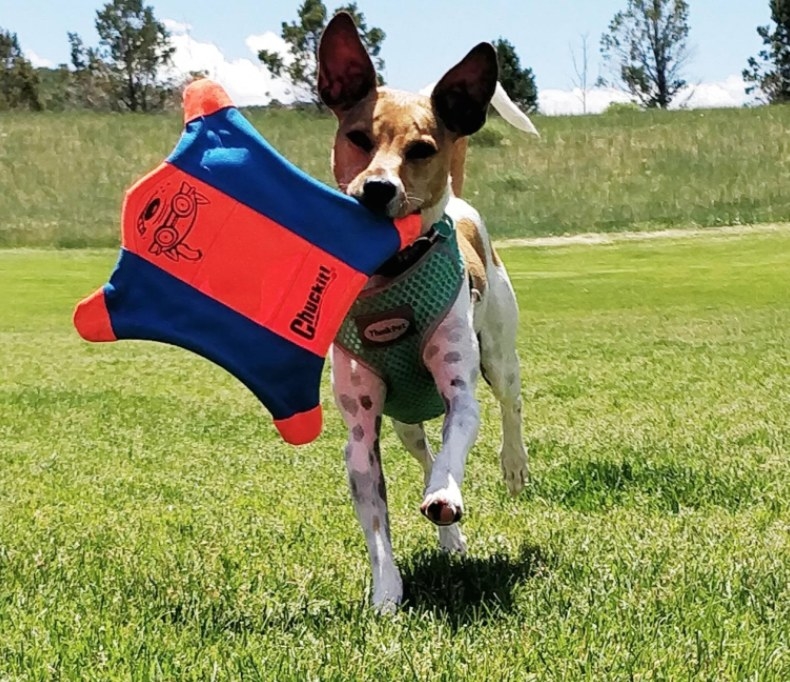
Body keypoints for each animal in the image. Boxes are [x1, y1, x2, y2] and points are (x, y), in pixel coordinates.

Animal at [320, 11, 532, 604]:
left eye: (421, 149)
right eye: (358, 137)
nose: (376, 188)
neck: (391, 272)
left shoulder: (460, 393)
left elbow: (456, 443)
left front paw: (447, 494)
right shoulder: (360, 431)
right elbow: (376, 522)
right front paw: (387, 595)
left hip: (499, 353)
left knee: (509, 405)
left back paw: (512, 466)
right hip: (402, 422)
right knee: (421, 450)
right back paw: (450, 537)